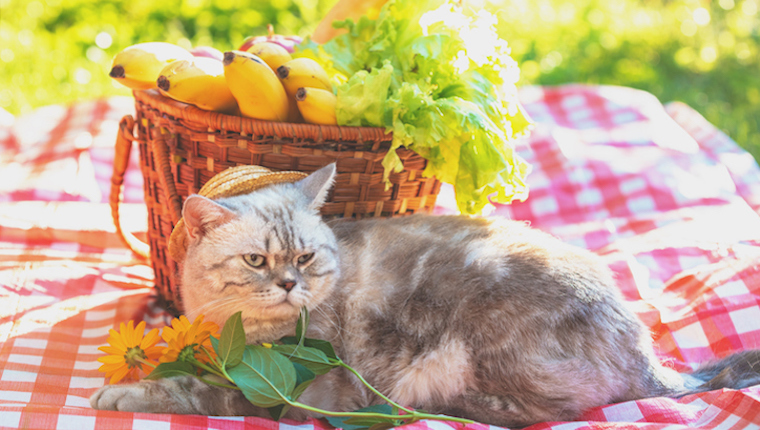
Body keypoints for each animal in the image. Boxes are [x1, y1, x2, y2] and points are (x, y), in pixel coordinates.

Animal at [92, 163, 760, 428]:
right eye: (257, 260)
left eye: (304, 258)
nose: (289, 284)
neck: (230, 330)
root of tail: (650, 357)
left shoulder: (282, 392)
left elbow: (189, 389)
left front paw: (121, 393)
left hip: (480, 347)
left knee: (542, 410)